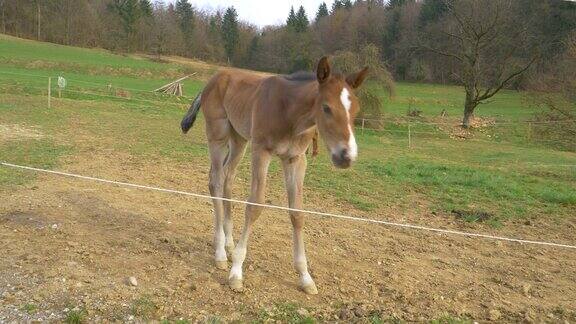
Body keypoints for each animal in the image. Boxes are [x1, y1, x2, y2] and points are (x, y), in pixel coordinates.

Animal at [181, 57, 368, 294]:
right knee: (215, 181)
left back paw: (229, 243)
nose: (346, 156)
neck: (290, 113)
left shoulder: (296, 159)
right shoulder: (261, 151)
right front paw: (236, 272)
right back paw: (221, 253)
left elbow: (297, 213)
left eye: (356, 110)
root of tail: (213, 79)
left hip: (239, 139)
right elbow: (255, 206)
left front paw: (305, 276)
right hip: (218, 135)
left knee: (227, 178)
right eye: (326, 107)